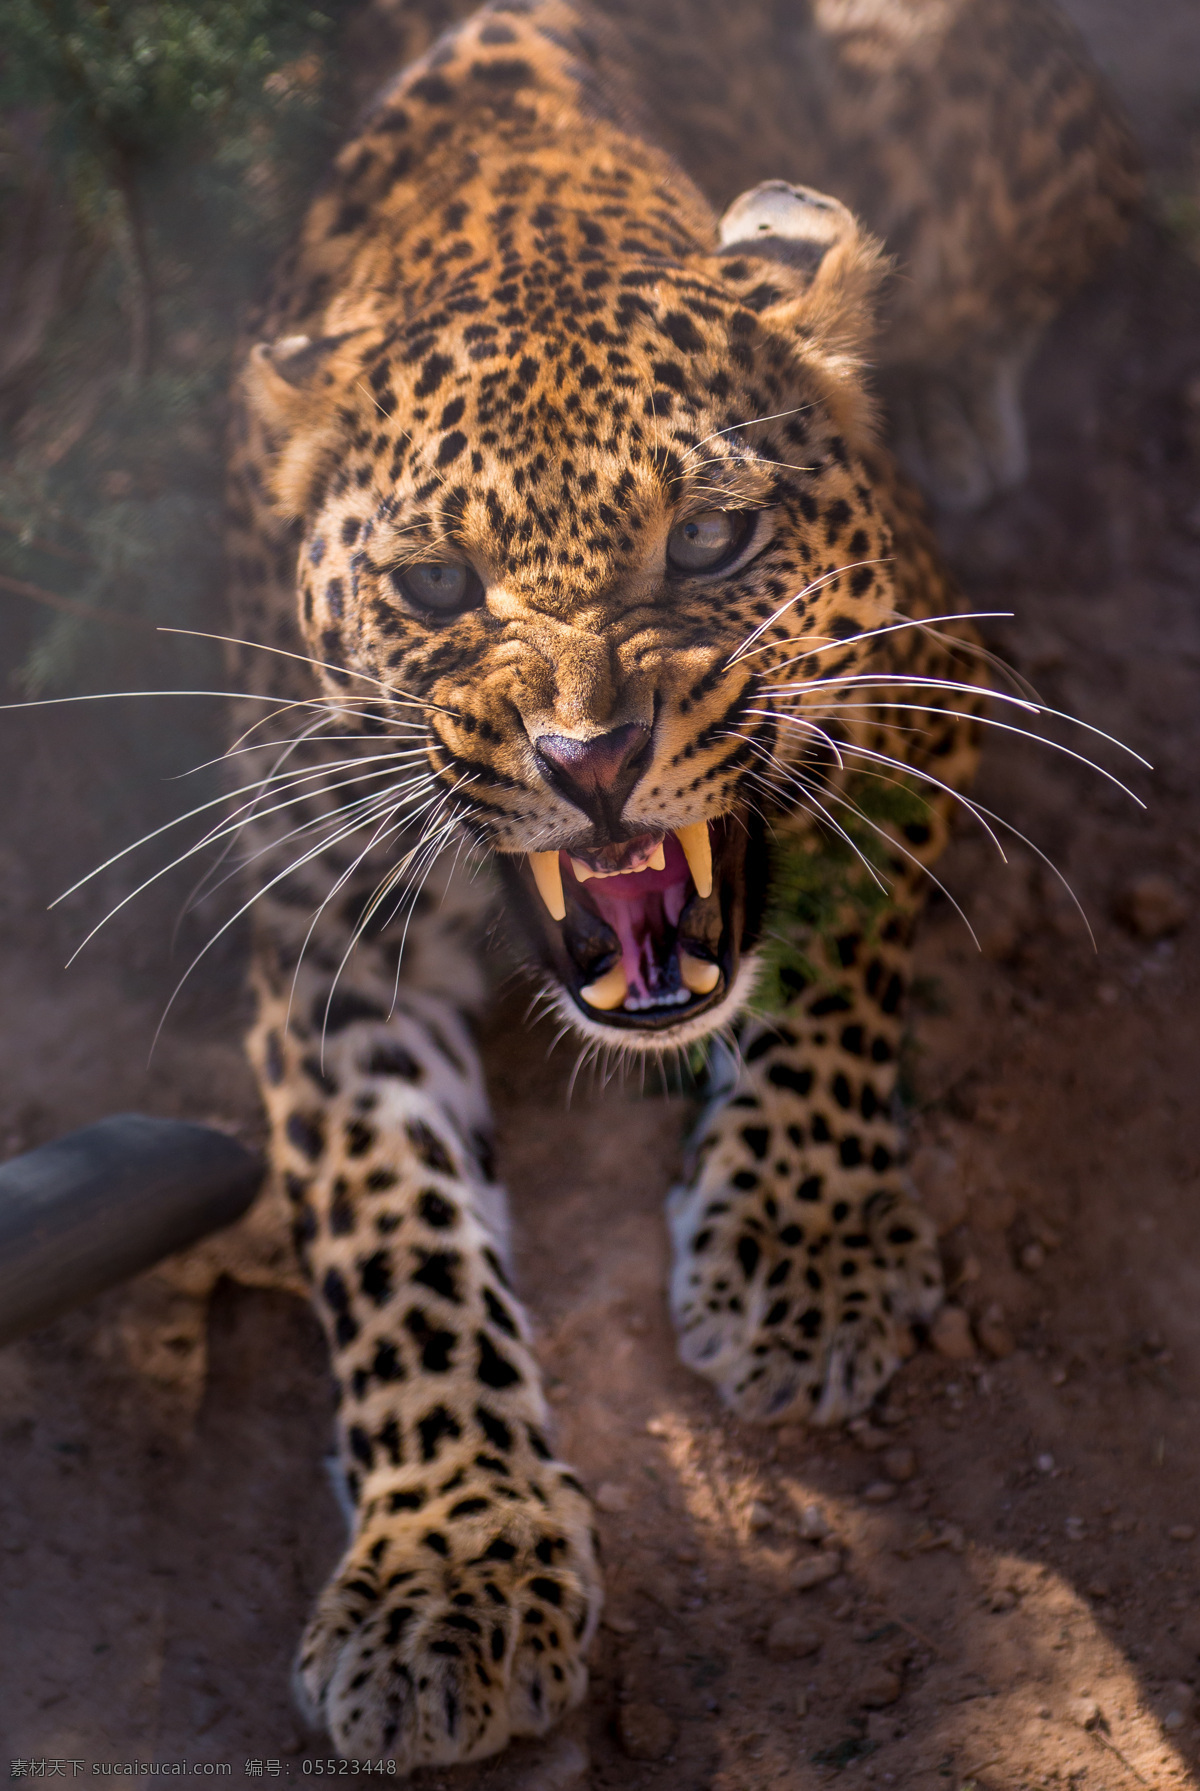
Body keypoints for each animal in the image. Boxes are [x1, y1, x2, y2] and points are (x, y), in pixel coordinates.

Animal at [221, 0, 1139, 1762]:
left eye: (711, 539)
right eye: (433, 585)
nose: (590, 755)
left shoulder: (919, 695)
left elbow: (832, 964)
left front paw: (801, 1251)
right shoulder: (321, 926)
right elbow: (392, 1229)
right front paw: (447, 1562)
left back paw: (961, 400)